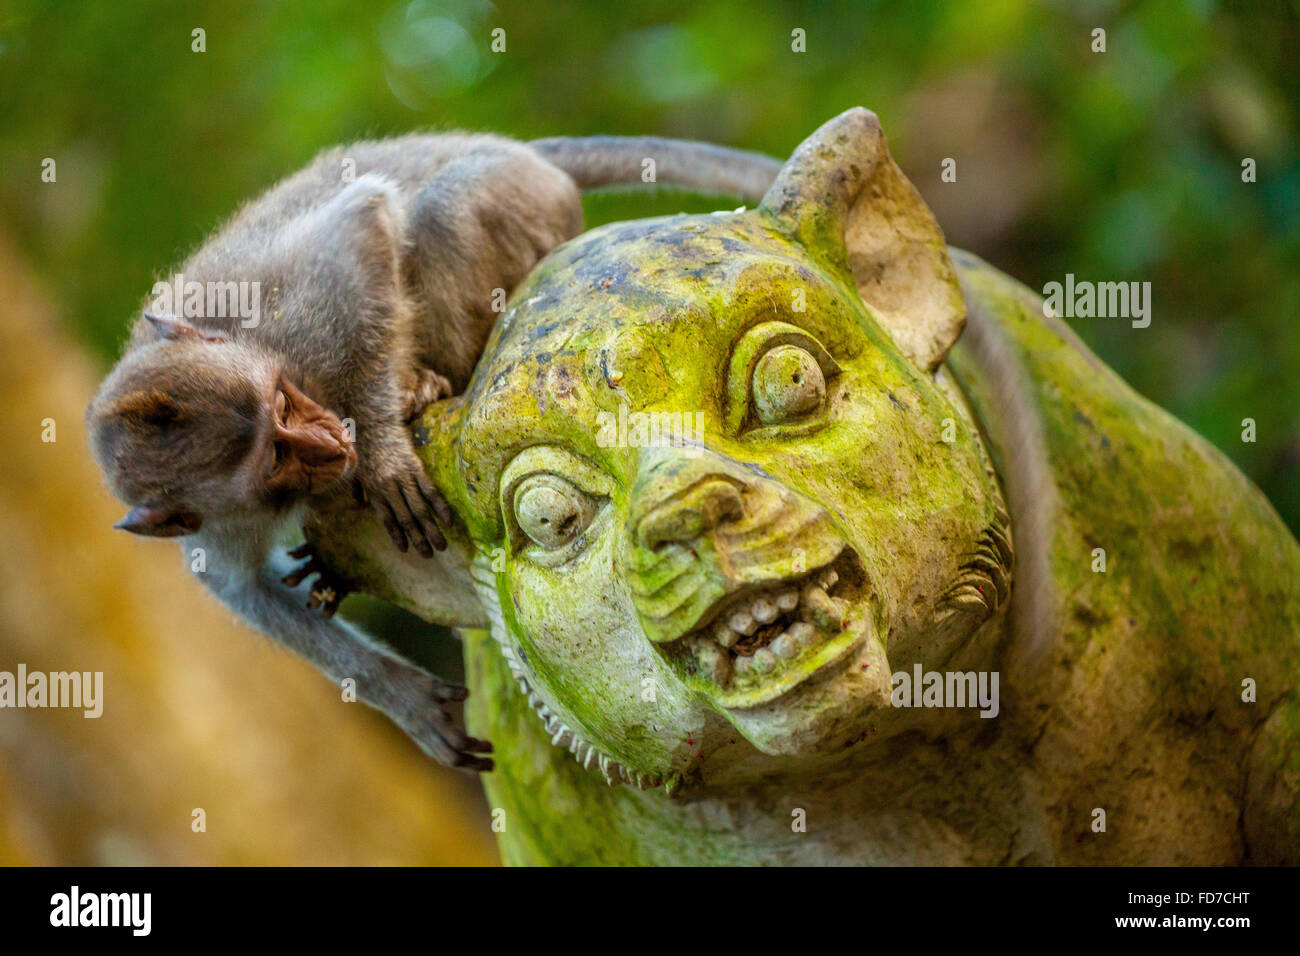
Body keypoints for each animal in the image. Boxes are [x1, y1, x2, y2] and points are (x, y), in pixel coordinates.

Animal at [87, 131, 783, 770]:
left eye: (282, 407)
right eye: (276, 459)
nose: (331, 442)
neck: (273, 359)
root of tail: (514, 148)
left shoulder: (297, 329)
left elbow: (359, 226)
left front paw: (383, 449)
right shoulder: (216, 525)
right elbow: (246, 590)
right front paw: (406, 701)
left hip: (529, 202)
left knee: (441, 209)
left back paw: (423, 386)